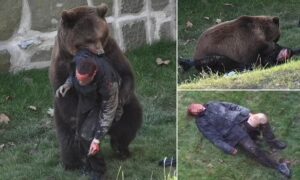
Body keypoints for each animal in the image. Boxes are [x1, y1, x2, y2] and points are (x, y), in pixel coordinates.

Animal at [48, 3, 142, 178]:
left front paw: (119, 100)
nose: (99, 52)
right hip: (61, 118)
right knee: (68, 140)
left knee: (130, 121)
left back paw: (121, 149)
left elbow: (125, 72)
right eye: (88, 39)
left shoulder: (111, 50)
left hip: (128, 112)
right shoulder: (62, 64)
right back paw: (73, 163)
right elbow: (67, 94)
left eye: (101, 35)